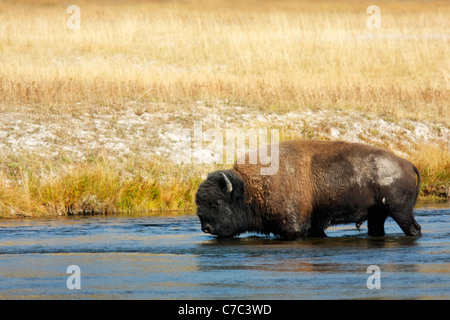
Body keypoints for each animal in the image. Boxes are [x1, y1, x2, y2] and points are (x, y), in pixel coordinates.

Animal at [194, 139, 422, 238]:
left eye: (218, 202)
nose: (206, 228)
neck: (250, 188)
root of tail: (406, 163)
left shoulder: (294, 228)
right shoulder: (315, 225)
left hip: (400, 211)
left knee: (413, 228)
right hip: (377, 215)